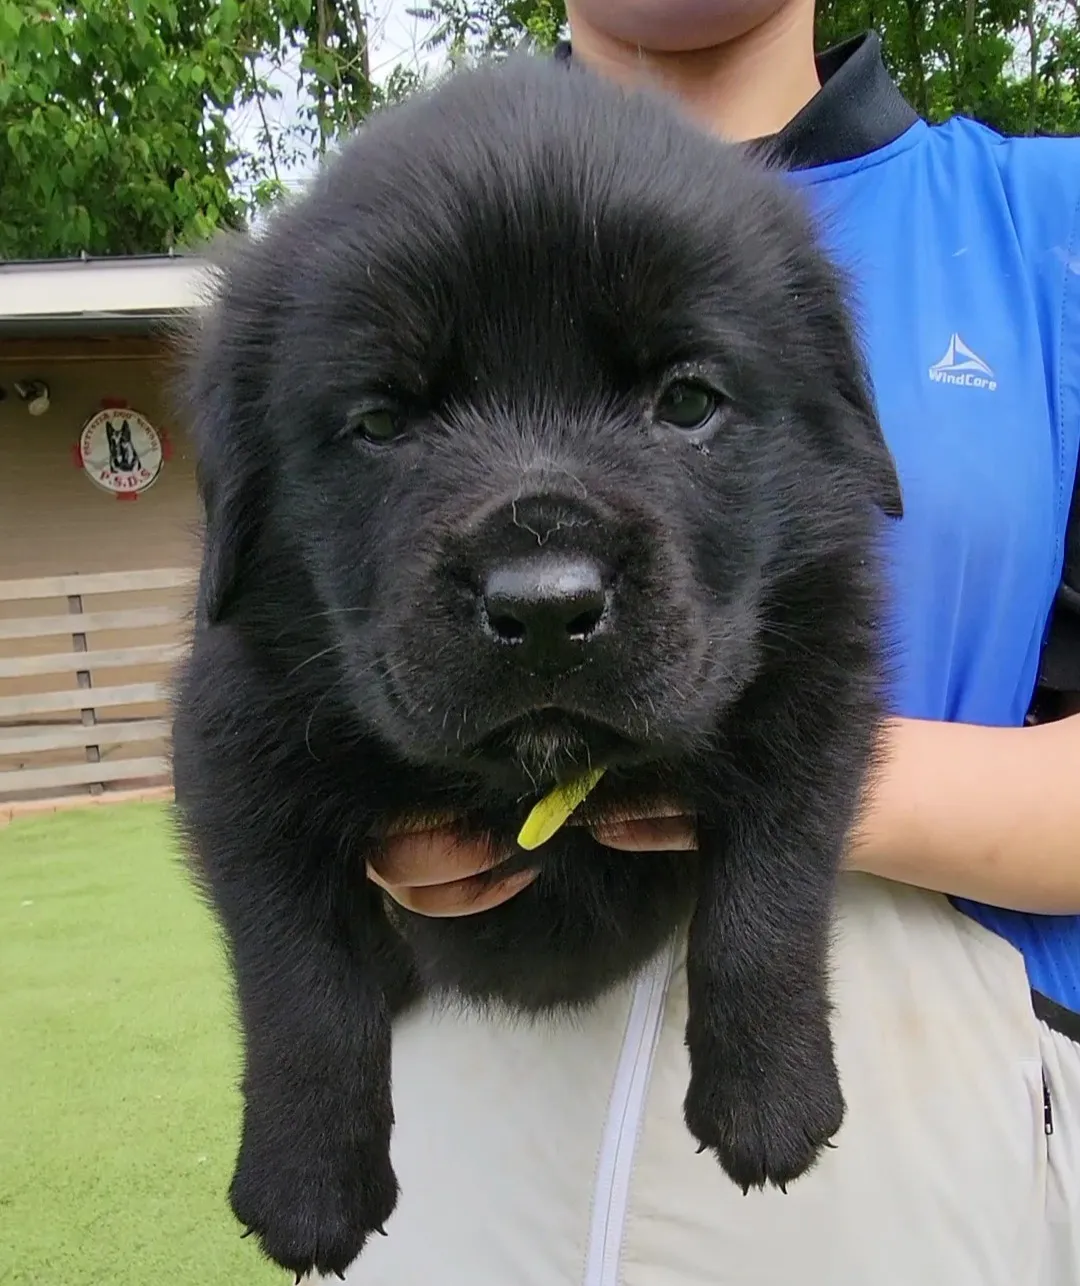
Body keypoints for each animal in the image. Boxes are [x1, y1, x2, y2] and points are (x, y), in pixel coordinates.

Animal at [174, 52, 905, 1286]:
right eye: (381, 423)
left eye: (688, 401)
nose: (548, 608)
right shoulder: (233, 741)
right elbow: (299, 979)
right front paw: (306, 1188)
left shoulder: (818, 675)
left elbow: (769, 895)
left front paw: (773, 1102)